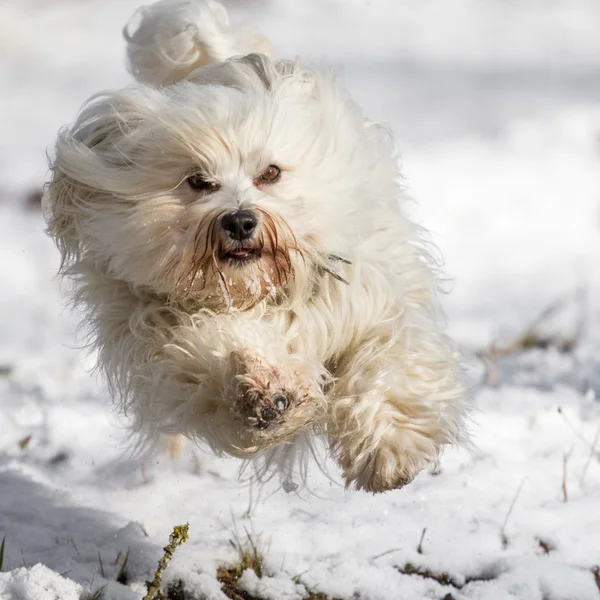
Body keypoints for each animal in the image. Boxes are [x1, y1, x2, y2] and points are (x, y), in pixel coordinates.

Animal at [44, 0, 468, 492]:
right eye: (198, 181)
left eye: (270, 173)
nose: (240, 220)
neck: (257, 291)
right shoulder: (159, 332)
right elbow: (208, 353)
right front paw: (263, 392)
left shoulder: (371, 303)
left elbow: (384, 363)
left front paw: (389, 449)